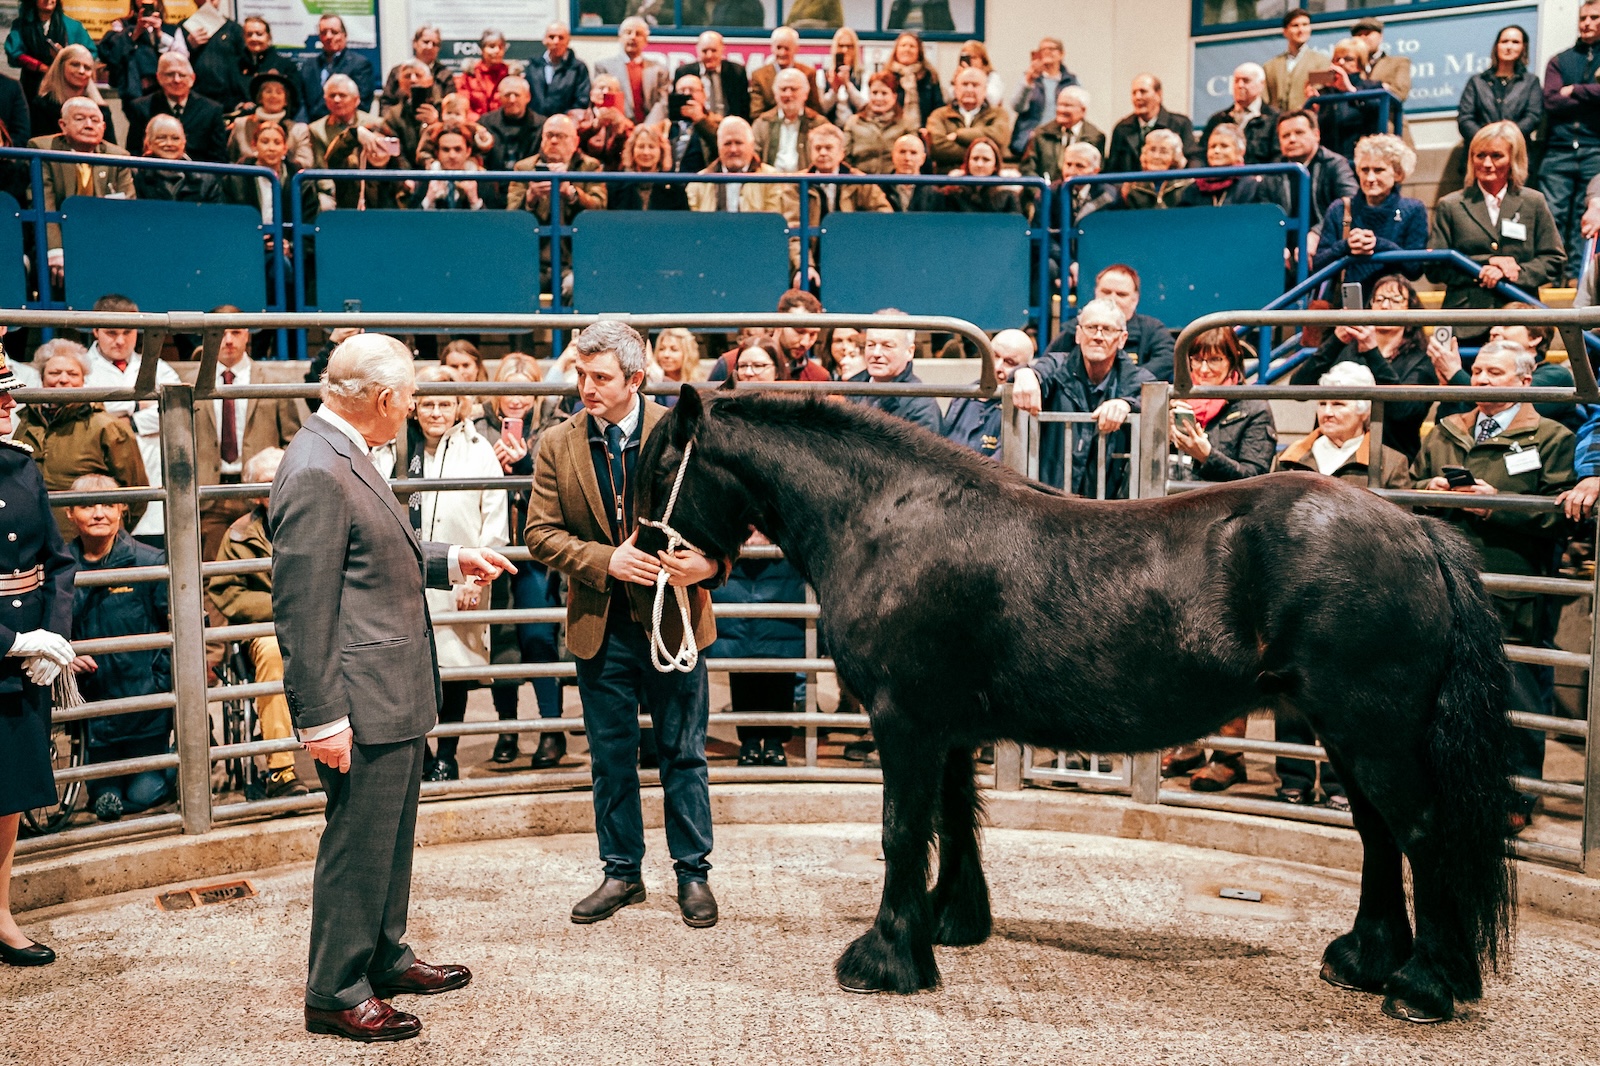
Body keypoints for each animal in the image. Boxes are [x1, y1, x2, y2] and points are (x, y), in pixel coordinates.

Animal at [635, 383, 1518, 1024]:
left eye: (657, 468)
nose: (639, 569)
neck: (888, 518)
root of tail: (1418, 533)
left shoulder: (905, 722)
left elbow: (899, 833)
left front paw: (884, 959)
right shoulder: (947, 729)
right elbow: (956, 821)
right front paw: (952, 924)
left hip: (1373, 733)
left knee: (1423, 834)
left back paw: (1426, 987)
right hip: (1351, 734)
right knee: (1378, 837)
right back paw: (1368, 961)